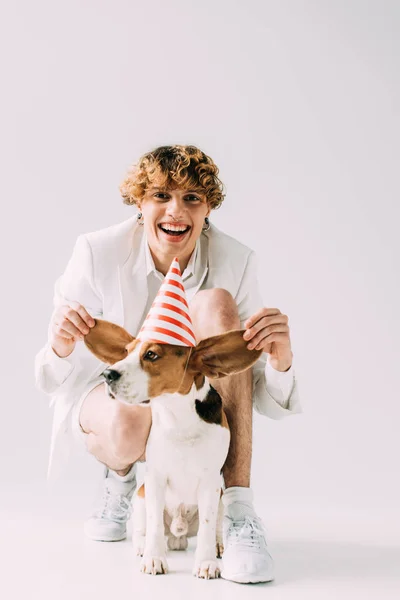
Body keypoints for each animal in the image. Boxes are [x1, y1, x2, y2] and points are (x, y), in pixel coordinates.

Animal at [83, 322, 262, 580]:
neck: (178, 417)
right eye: (126, 351)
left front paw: (207, 562)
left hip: (219, 497)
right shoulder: (155, 478)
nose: (107, 374)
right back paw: (143, 545)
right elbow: (155, 524)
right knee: (144, 527)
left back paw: (218, 545)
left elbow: (207, 526)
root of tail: (179, 534)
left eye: (151, 354)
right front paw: (154, 558)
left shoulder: (210, 483)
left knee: (214, 527)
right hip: (142, 495)